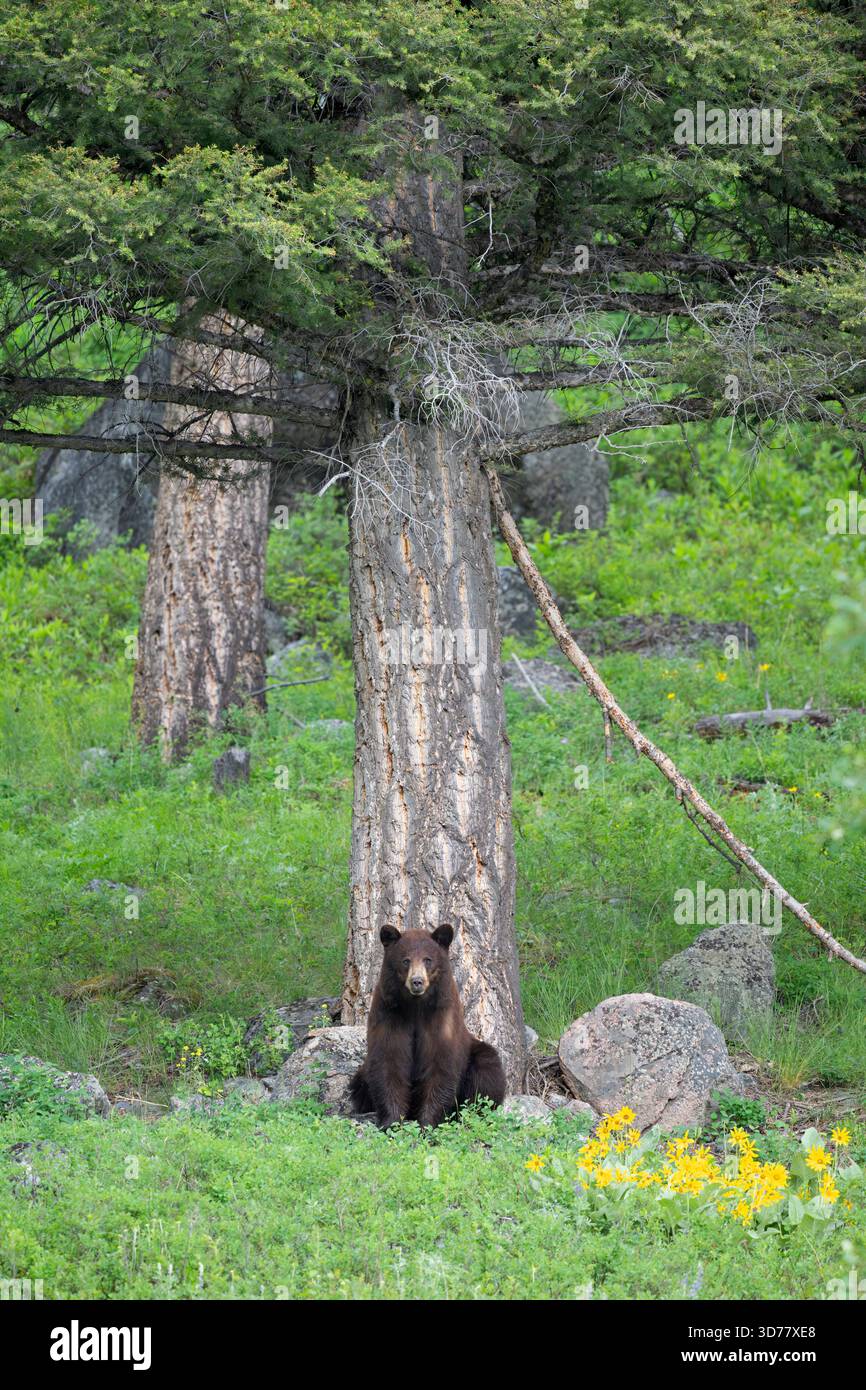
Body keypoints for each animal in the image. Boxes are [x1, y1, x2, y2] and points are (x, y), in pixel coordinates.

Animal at [348, 923, 507, 1129]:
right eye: (406, 960)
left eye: (428, 960)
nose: (417, 981)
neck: (416, 1007)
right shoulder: (390, 1015)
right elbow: (388, 1064)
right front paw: (391, 1121)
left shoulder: (441, 1019)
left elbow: (440, 1068)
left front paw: (427, 1124)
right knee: (359, 1083)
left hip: (477, 1054)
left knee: (488, 1071)